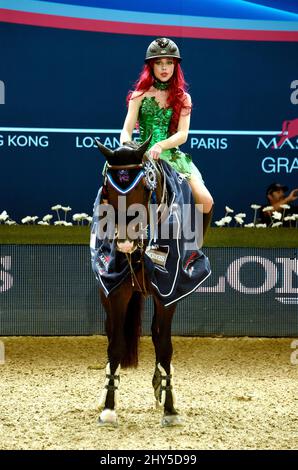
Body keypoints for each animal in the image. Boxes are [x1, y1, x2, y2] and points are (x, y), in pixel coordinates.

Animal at [93, 138, 182, 428]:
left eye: (144, 186)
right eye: (107, 189)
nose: (124, 242)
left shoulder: (169, 292)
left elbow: (164, 345)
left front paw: (170, 408)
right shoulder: (116, 292)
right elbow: (116, 345)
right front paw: (109, 407)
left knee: (156, 334)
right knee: (112, 332)